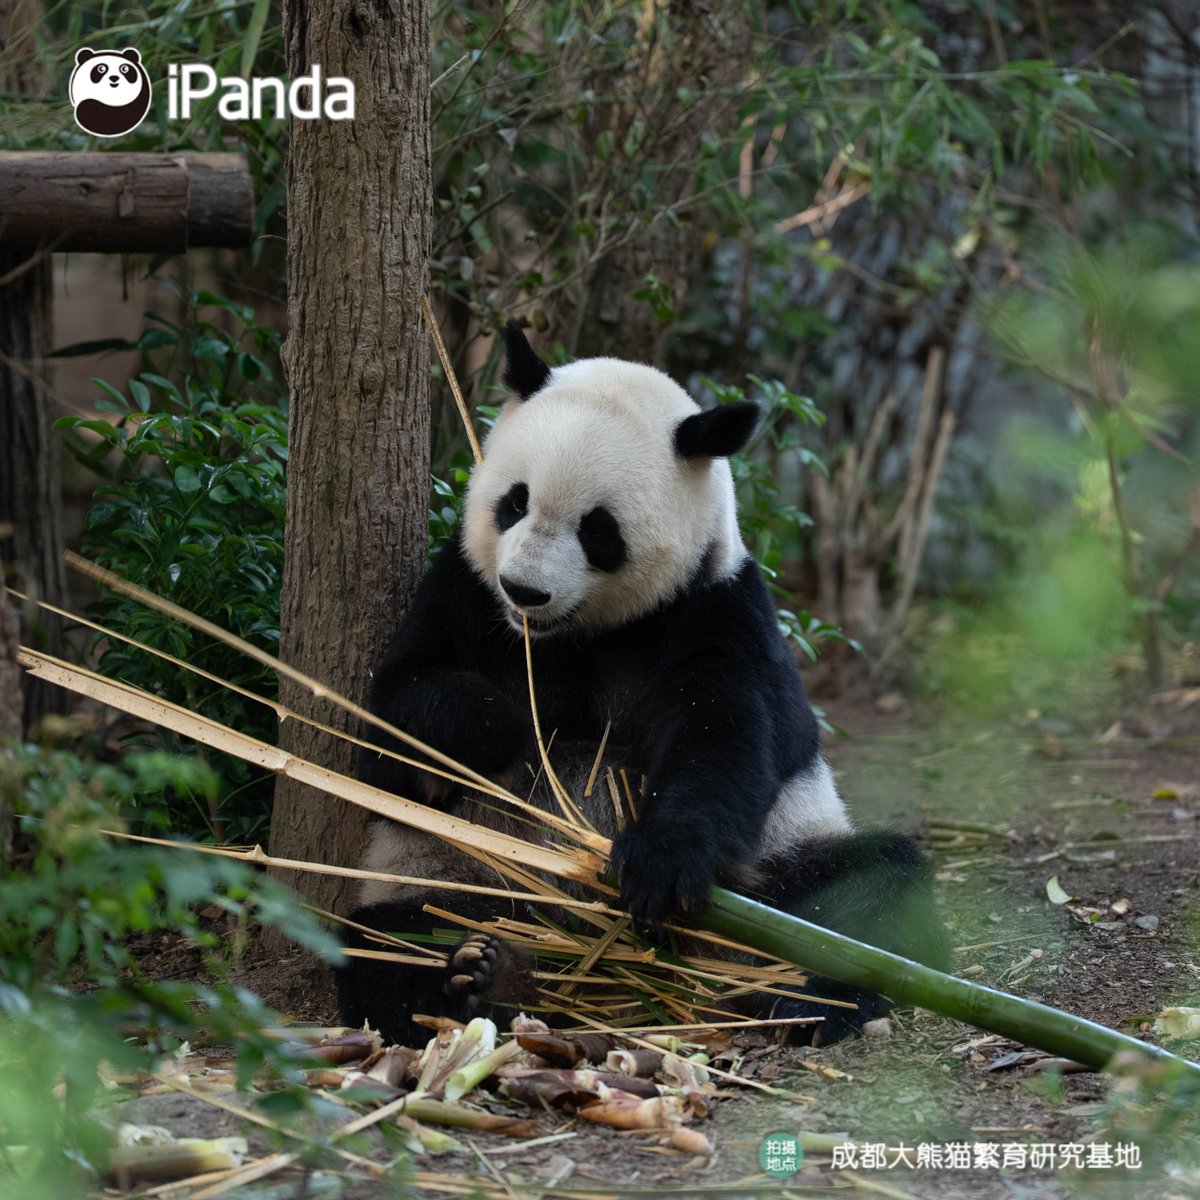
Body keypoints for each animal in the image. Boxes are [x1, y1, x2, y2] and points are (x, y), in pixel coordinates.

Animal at [336, 322, 949, 1047]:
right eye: (514, 501)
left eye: (598, 530)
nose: (524, 590)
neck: (575, 634)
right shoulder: (462, 592)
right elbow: (393, 717)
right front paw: (502, 729)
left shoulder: (713, 609)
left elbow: (724, 737)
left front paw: (657, 864)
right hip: (447, 871)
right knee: (390, 939)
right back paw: (480, 978)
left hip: (772, 873)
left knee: (870, 891)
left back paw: (802, 997)